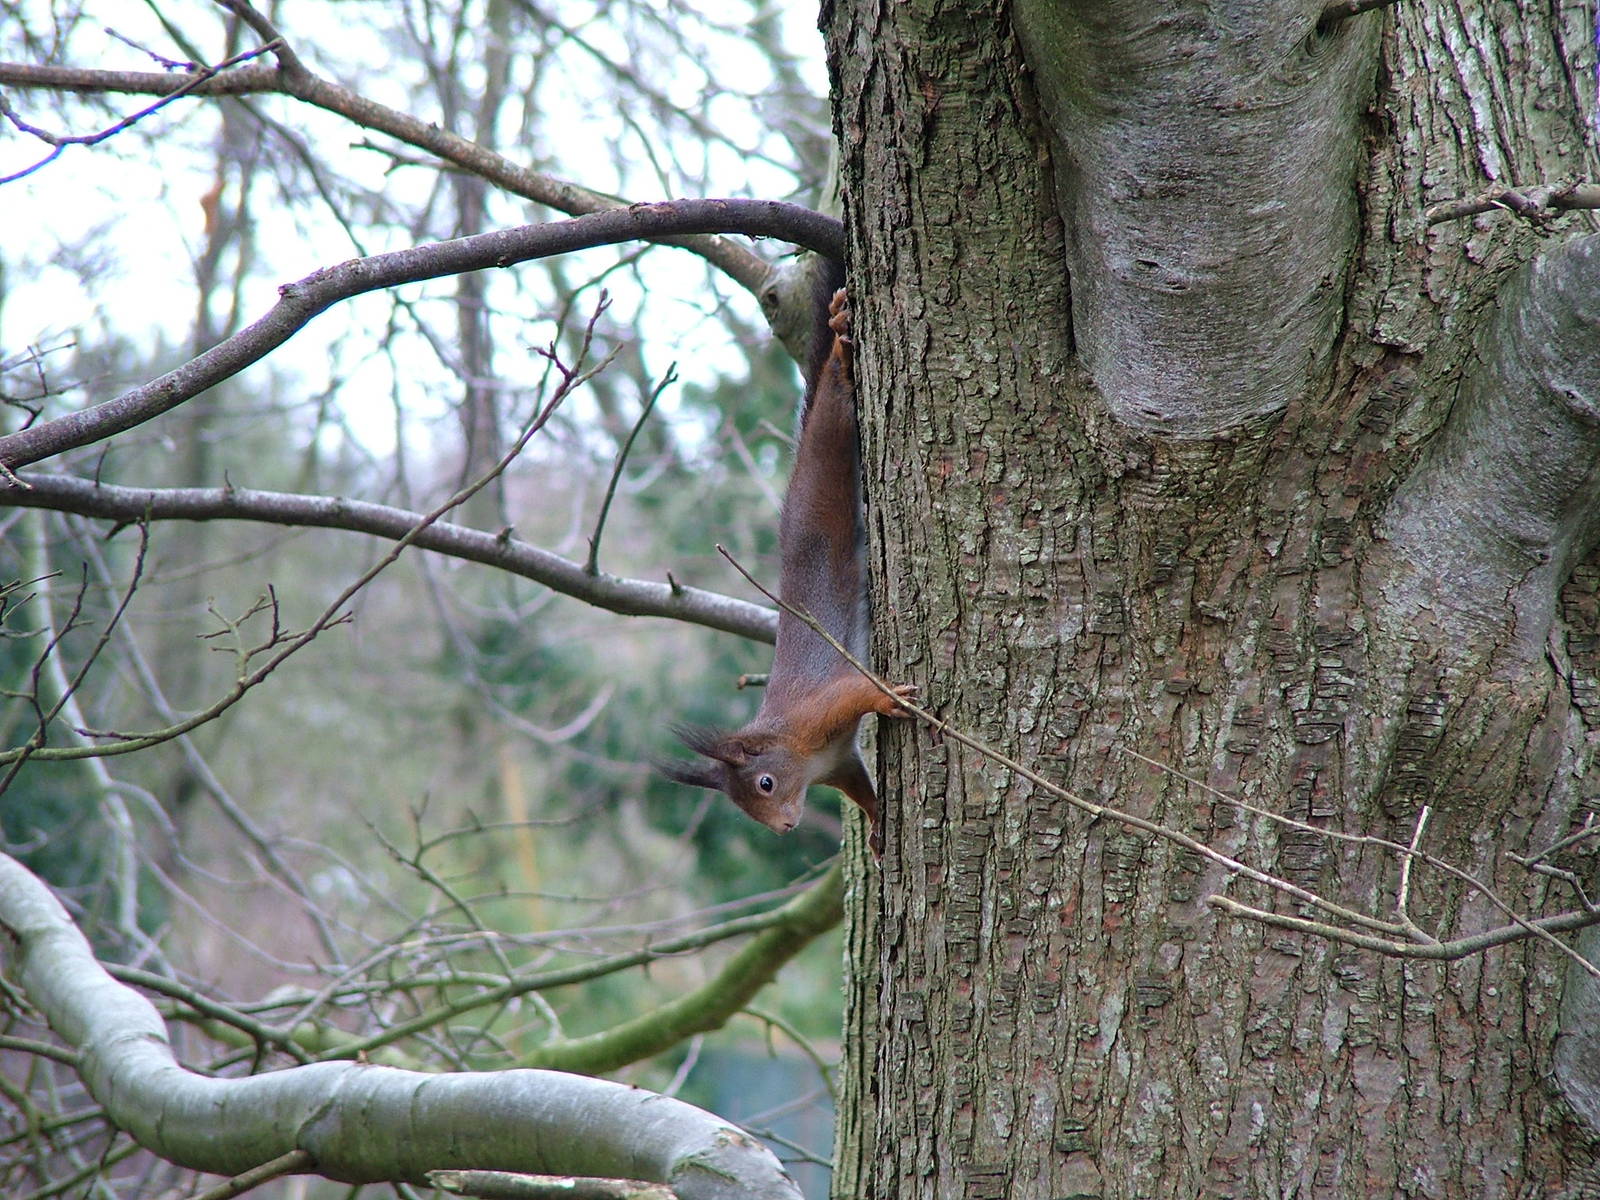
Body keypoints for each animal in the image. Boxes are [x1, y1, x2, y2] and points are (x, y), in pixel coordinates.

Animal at [661, 263, 914, 857]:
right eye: (744, 806)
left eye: (765, 783)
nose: (784, 827)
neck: (799, 752)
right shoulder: (840, 762)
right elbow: (860, 787)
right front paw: (875, 823)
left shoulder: (820, 711)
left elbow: (859, 691)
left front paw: (891, 698)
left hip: (832, 436)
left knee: (834, 397)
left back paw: (840, 344)